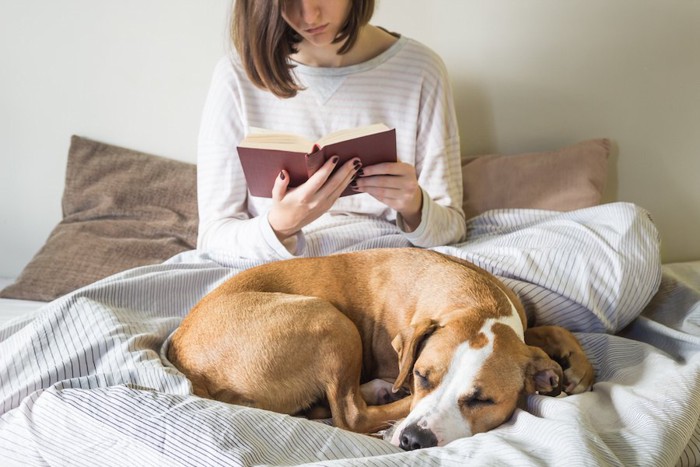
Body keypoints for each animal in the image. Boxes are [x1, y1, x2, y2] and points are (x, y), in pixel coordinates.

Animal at [167, 249, 592, 450]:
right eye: (421, 376)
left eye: (482, 400)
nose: (414, 441)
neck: (477, 303)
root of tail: (187, 363)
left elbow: (551, 328)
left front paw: (579, 369)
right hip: (331, 321)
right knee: (350, 414)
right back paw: (382, 393)